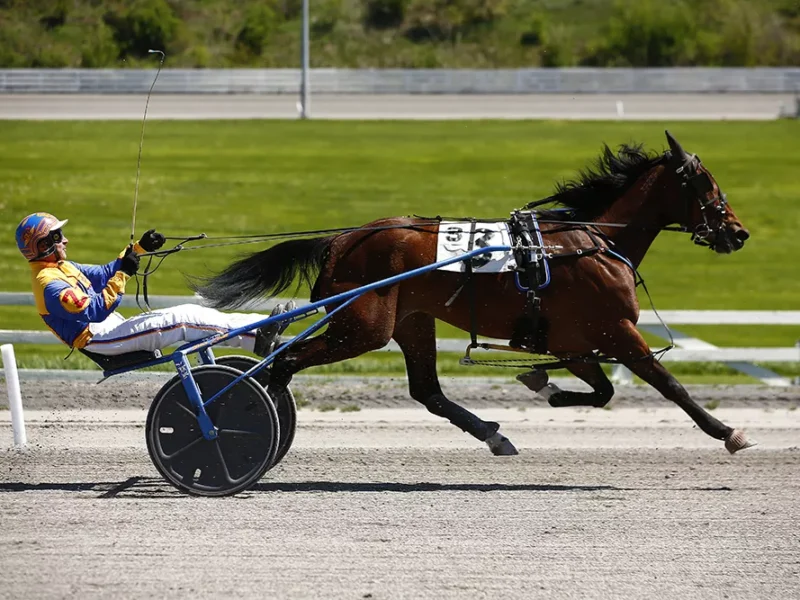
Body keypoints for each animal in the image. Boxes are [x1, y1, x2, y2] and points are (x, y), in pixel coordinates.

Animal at [192, 131, 755, 456]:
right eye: (707, 183)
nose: (739, 232)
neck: (591, 242)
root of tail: (344, 239)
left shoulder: (577, 340)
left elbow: (602, 391)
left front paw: (542, 384)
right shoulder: (617, 331)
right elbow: (669, 385)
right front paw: (727, 431)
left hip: (411, 321)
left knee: (427, 391)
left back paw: (492, 434)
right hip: (363, 326)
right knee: (285, 364)